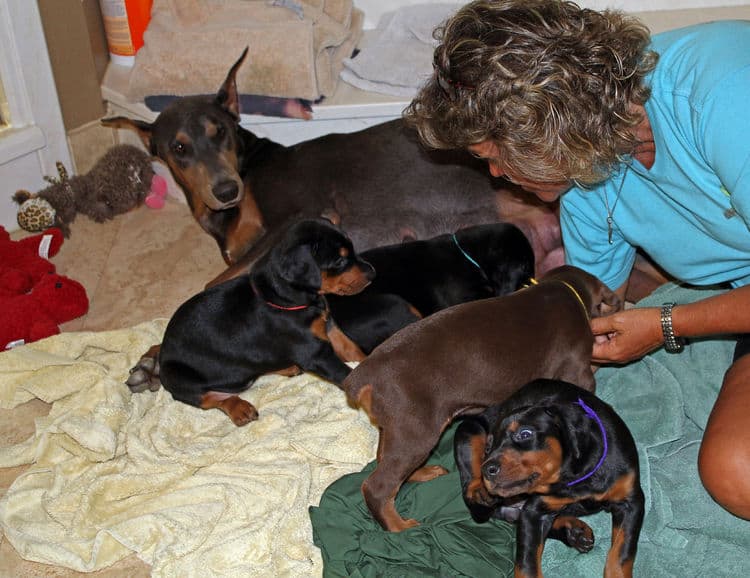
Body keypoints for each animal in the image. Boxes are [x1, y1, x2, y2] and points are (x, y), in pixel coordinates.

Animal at [136, 218, 376, 426]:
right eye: (339, 261)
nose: (372, 273)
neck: (286, 299)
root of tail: (163, 355)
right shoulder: (315, 353)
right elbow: (348, 376)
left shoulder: (330, 328)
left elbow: (355, 352)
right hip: (180, 378)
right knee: (211, 398)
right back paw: (239, 408)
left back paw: (287, 367)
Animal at [346, 266, 624, 532]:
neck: (567, 288)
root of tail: (365, 373)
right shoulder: (577, 371)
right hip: (416, 431)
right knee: (378, 486)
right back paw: (398, 527)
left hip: (397, 429)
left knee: (384, 460)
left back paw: (424, 473)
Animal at [456, 378, 648, 576]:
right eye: (488, 448)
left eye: (525, 434)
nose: (487, 469)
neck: (575, 479)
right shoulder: (534, 511)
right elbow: (526, 564)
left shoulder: (630, 502)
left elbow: (621, 552)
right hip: (468, 430)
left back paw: (576, 532)